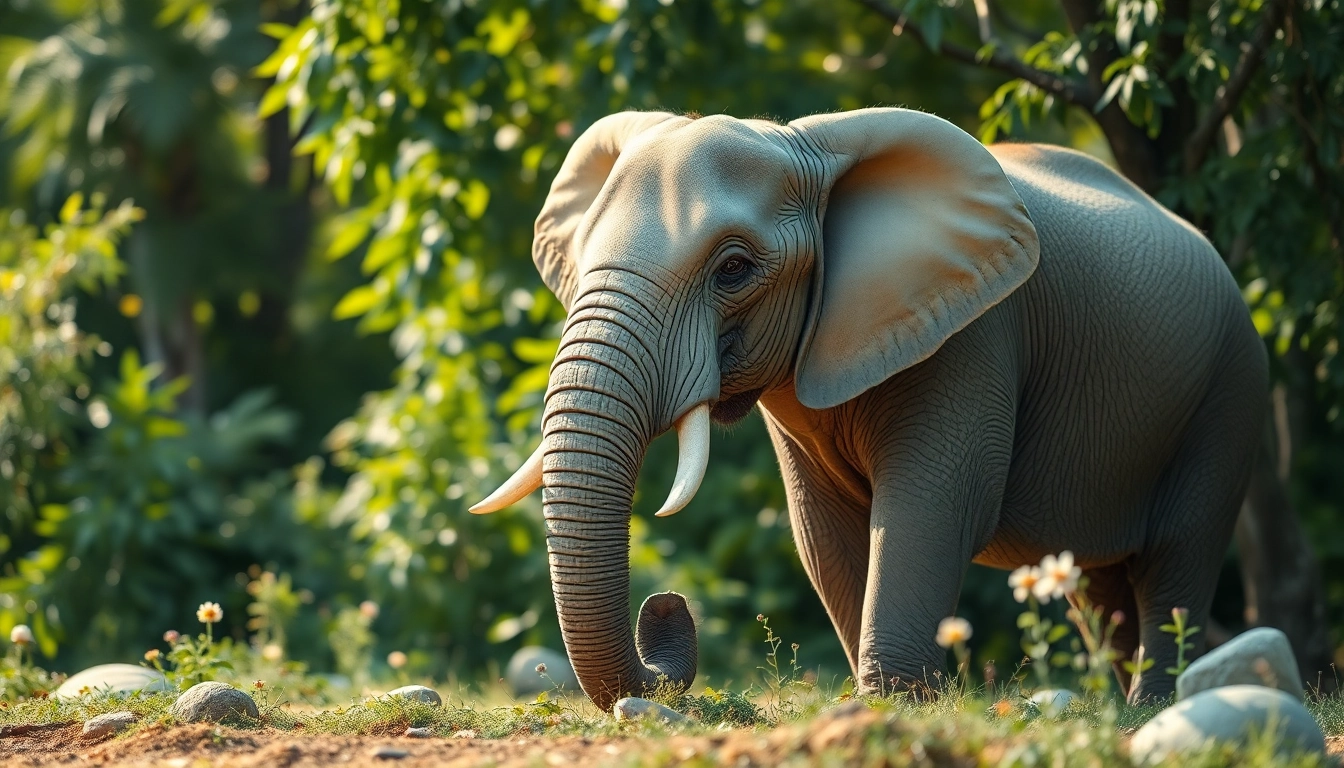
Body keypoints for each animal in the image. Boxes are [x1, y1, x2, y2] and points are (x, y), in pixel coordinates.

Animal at [472, 107, 1268, 711]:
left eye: (733, 269)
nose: (667, 604)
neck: (801, 145)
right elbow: (821, 528)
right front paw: (880, 700)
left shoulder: (975, 336)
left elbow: (931, 506)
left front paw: (891, 704)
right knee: (1101, 585)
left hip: (1228, 393)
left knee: (1175, 558)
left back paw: (1152, 711)